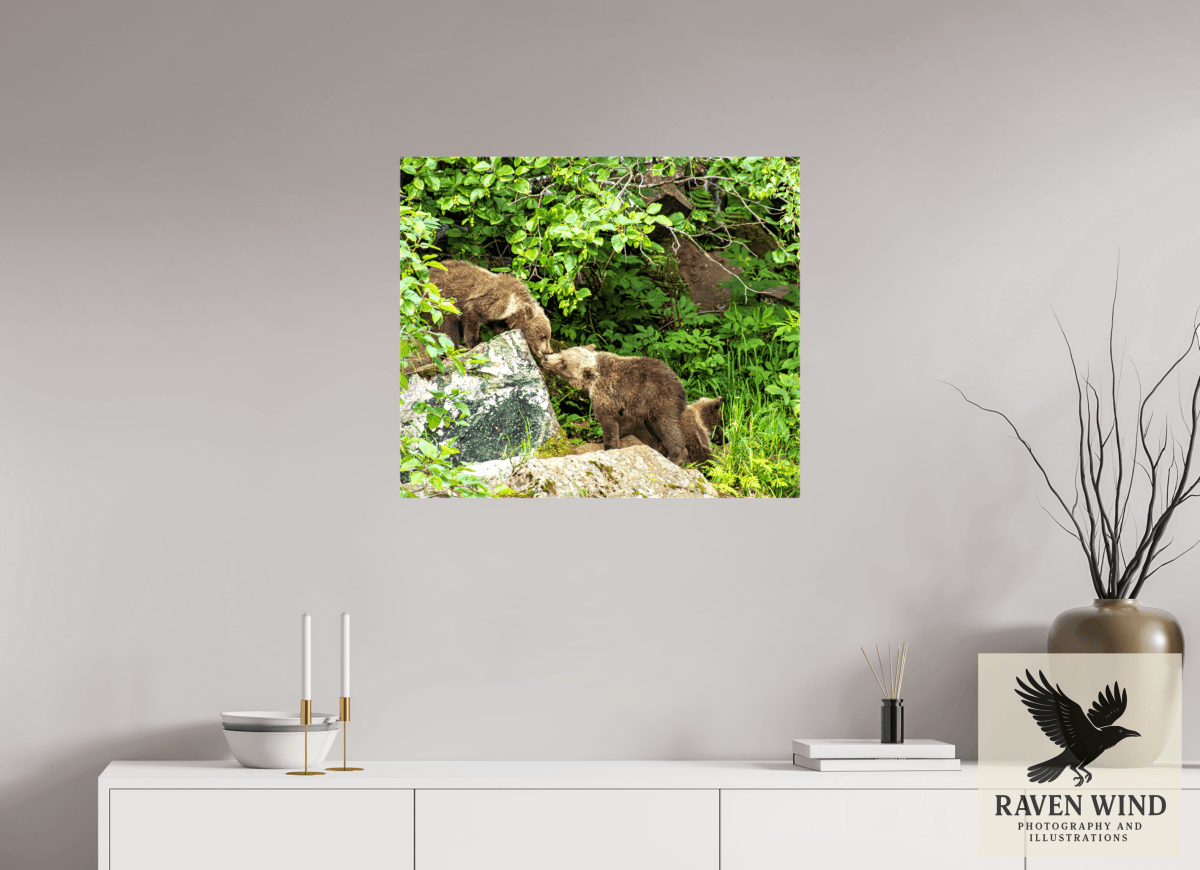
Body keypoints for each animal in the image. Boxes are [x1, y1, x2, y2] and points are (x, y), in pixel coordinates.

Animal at [541, 345, 689, 466]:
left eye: (563, 363)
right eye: (561, 351)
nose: (545, 357)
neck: (590, 382)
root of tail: (679, 384)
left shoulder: (606, 393)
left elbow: (609, 422)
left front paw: (609, 446)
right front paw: (598, 438)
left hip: (659, 399)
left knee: (668, 427)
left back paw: (676, 457)